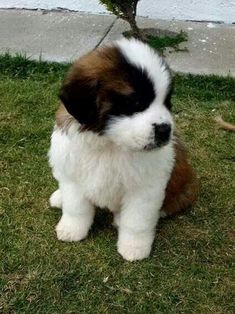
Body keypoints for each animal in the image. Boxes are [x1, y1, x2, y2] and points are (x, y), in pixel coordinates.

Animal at [48, 38, 197, 262]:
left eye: (167, 102)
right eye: (134, 103)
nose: (165, 130)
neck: (110, 145)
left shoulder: (145, 189)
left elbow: (136, 220)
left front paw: (134, 246)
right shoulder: (74, 175)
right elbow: (76, 207)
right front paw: (72, 229)